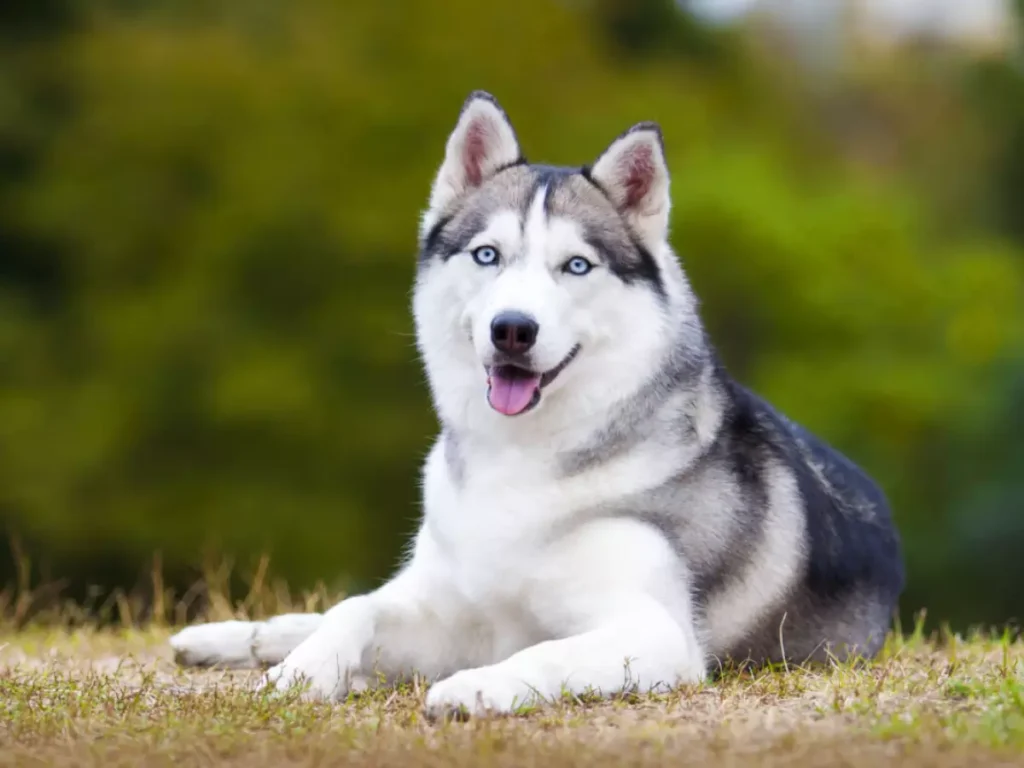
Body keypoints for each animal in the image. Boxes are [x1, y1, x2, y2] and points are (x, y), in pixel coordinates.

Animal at [167, 91, 905, 720]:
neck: (521, 460)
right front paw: (300, 673)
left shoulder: (655, 631)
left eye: (576, 266)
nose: (513, 330)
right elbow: (354, 608)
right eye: (487, 255)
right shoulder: (453, 609)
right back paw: (230, 638)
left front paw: (474, 688)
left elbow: (545, 651)